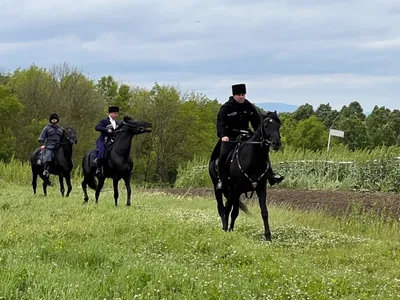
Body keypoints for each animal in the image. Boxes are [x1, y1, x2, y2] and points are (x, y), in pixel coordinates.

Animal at [209, 110, 282, 241]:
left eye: (278, 126)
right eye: (265, 125)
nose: (276, 143)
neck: (252, 160)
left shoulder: (260, 189)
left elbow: (264, 212)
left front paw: (268, 236)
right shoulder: (234, 189)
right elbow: (227, 208)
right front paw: (225, 230)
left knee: (234, 211)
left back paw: (231, 229)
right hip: (219, 189)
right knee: (222, 208)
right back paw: (225, 227)